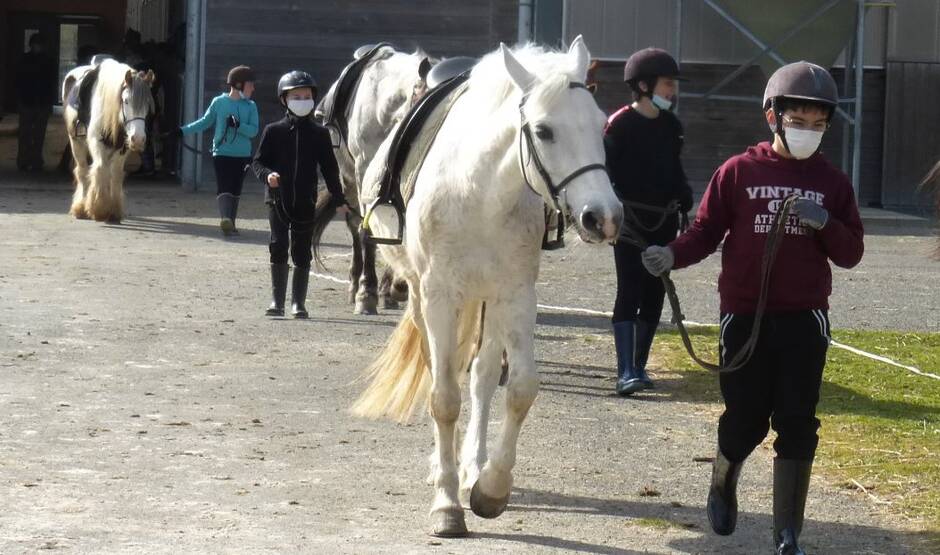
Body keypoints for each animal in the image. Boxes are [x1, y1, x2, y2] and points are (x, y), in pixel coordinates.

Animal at [63, 59, 154, 224]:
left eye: (148, 104)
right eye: (126, 101)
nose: (138, 139)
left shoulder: (122, 148)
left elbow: (116, 173)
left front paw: (114, 211)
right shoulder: (96, 142)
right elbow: (100, 168)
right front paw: (99, 209)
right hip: (76, 142)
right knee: (82, 171)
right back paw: (80, 208)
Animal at [316, 45, 434, 314]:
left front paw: (394, 288)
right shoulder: (364, 174)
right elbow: (366, 231)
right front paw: (366, 293)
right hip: (348, 181)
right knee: (354, 224)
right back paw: (355, 286)